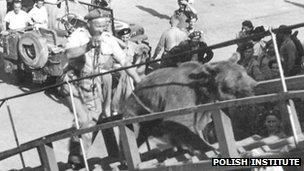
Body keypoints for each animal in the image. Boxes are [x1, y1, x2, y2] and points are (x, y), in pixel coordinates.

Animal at [121, 58, 256, 158]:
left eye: (245, 72)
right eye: (239, 76)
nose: (255, 84)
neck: (203, 88)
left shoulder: (200, 106)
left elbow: (195, 124)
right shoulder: (181, 96)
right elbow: (180, 122)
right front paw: (206, 147)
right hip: (137, 109)